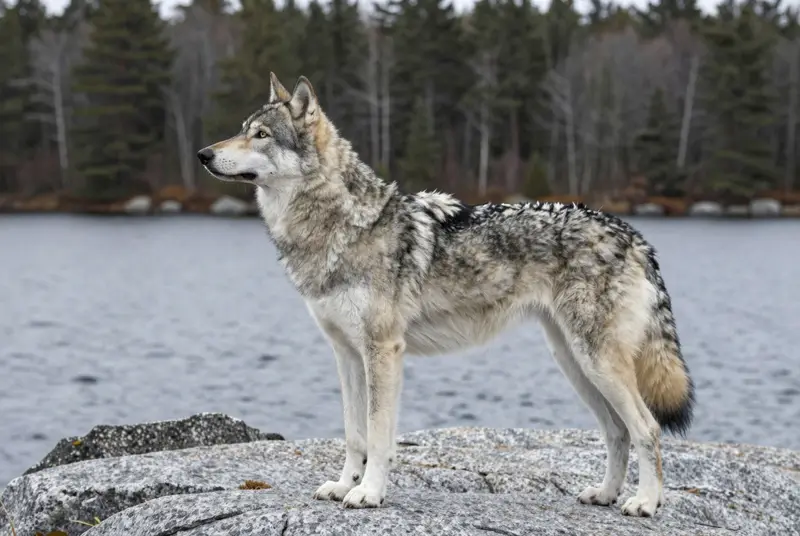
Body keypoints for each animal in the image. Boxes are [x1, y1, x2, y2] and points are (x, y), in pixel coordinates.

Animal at [197, 73, 695, 517]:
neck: (339, 227)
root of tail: (631, 233)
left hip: (596, 362)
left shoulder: (382, 351)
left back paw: (645, 503)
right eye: (242, 130)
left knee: (648, 428)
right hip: (574, 363)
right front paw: (342, 485)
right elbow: (354, 434)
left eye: (260, 135)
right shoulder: (346, 354)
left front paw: (368, 493)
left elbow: (378, 435)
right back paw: (605, 495)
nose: (203, 154)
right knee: (617, 432)